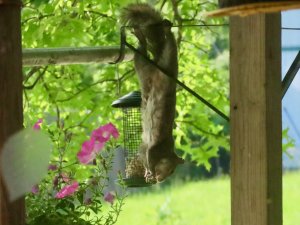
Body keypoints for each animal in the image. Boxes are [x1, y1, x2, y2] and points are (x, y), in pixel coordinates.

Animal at [121, 2, 183, 184]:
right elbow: (150, 157)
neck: (167, 152)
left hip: (143, 69)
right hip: (165, 59)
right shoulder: (156, 149)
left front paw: (148, 174)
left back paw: (140, 38)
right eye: (170, 169)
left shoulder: (145, 146)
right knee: (170, 46)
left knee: (141, 54)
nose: (161, 179)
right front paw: (151, 173)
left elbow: (143, 154)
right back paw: (166, 30)